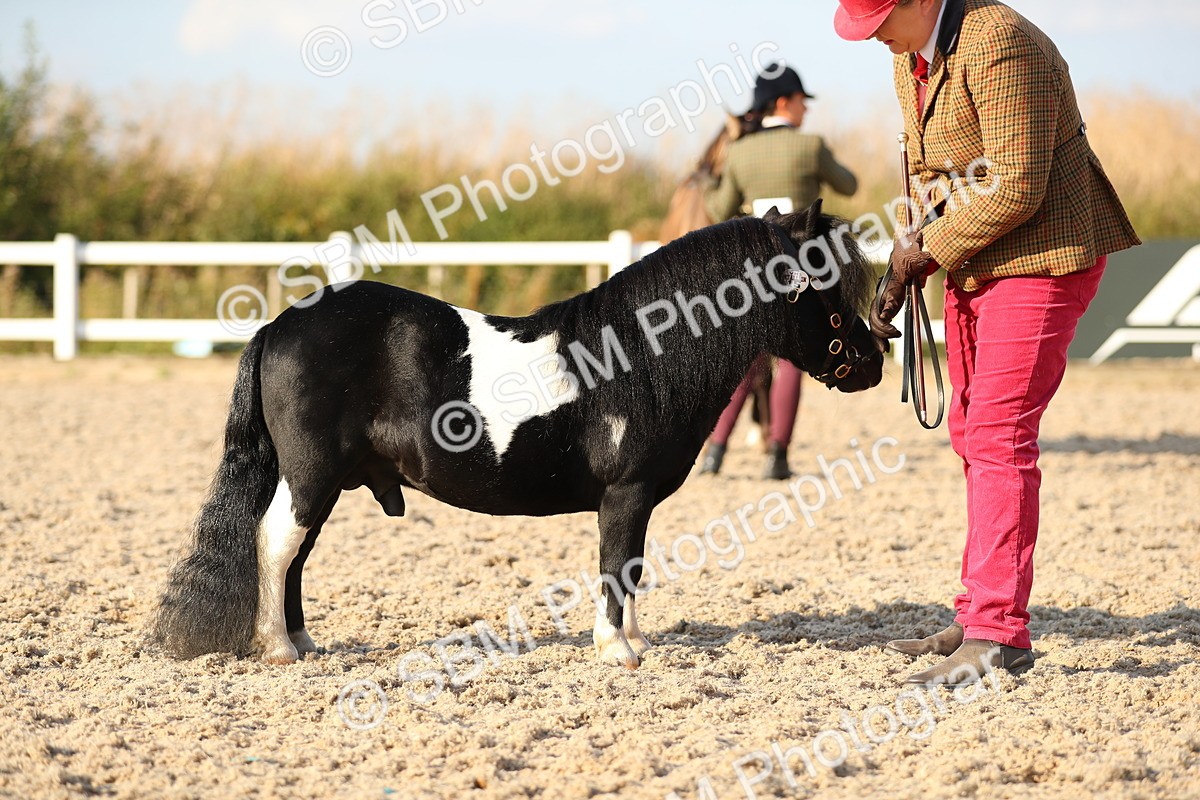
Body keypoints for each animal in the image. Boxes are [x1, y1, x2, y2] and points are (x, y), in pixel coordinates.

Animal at [150, 201, 884, 670]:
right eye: (826, 281)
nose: (876, 361)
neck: (640, 356)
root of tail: (280, 325)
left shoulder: (636, 499)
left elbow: (633, 567)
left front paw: (637, 643)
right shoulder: (625, 494)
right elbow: (615, 565)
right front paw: (617, 651)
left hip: (320, 483)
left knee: (295, 555)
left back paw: (302, 644)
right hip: (310, 475)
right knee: (276, 545)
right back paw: (277, 649)